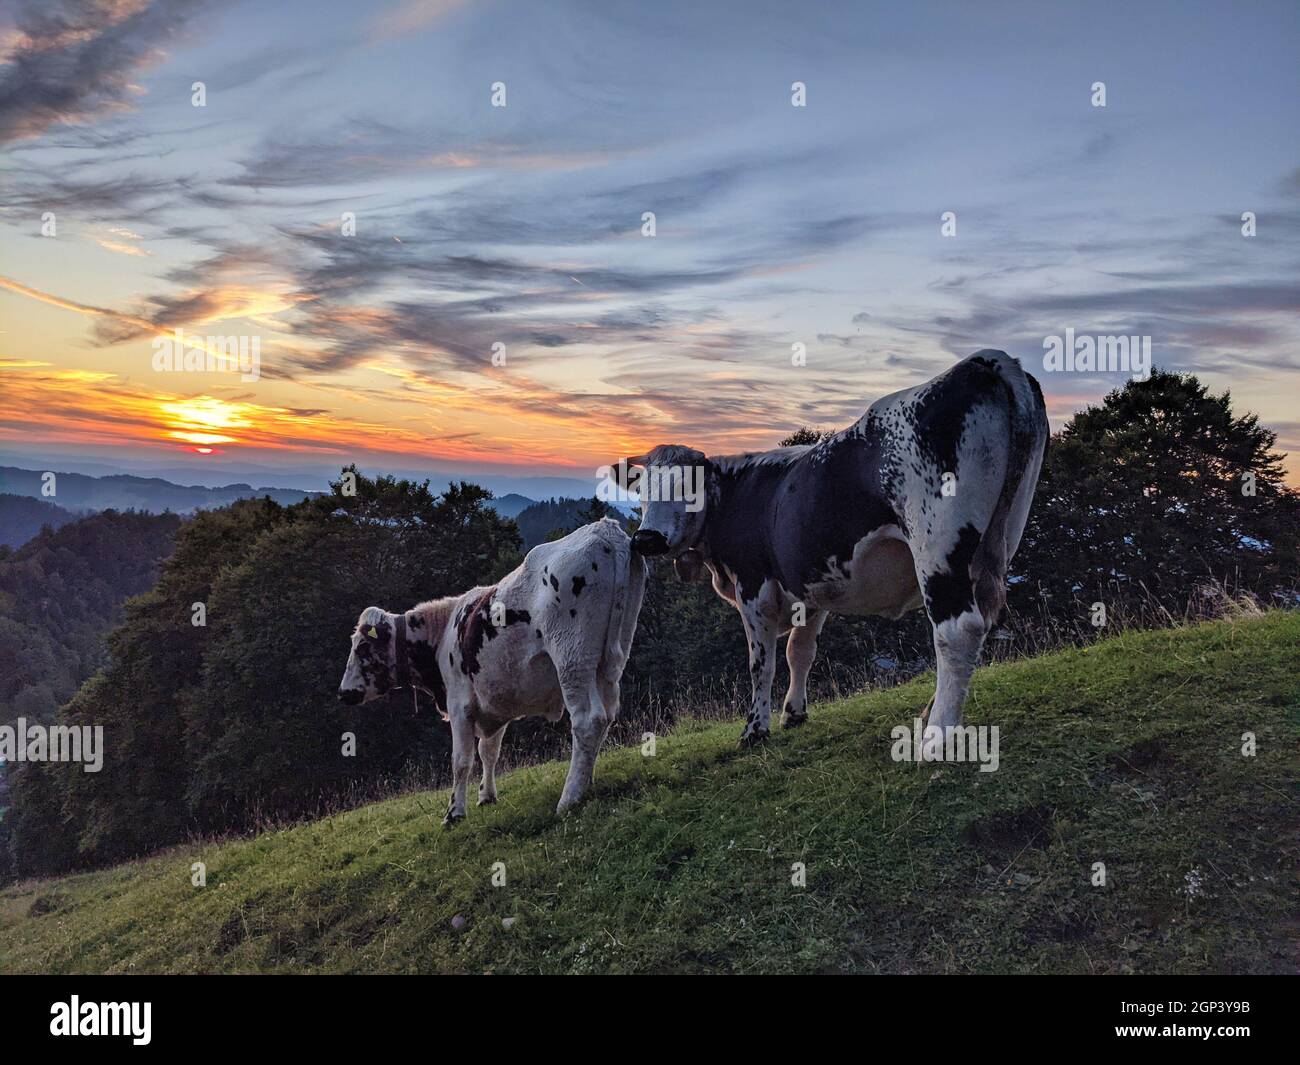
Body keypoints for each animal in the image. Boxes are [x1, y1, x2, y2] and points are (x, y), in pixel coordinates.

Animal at [338, 520, 647, 821]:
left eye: (362, 647)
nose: (343, 692)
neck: (443, 632)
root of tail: (604, 530)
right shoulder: (496, 700)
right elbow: (488, 751)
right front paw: (486, 796)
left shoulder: (459, 703)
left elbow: (461, 760)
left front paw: (454, 812)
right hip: (610, 659)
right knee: (606, 715)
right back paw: (585, 782)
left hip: (573, 658)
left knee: (588, 720)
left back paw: (568, 798)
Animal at [613, 351, 1050, 749]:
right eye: (643, 489)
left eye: (688, 487)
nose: (646, 538)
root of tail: (985, 360)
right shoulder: (812, 582)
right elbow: (800, 650)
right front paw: (794, 713)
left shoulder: (753, 585)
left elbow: (761, 662)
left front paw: (755, 730)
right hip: (999, 539)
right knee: (984, 617)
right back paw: (930, 712)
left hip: (938, 547)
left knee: (958, 629)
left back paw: (937, 736)